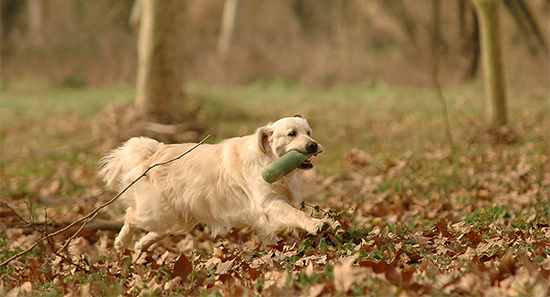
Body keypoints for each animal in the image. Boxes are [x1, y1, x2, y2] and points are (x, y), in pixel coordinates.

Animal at [100, 113, 328, 250]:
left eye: (308, 132)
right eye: (292, 134)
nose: (313, 144)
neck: (268, 159)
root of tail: (154, 151)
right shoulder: (269, 203)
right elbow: (296, 214)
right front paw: (315, 223)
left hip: (180, 219)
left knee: (157, 231)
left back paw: (141, 244)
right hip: (159, 213)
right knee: (130, 215)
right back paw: (121, 242)